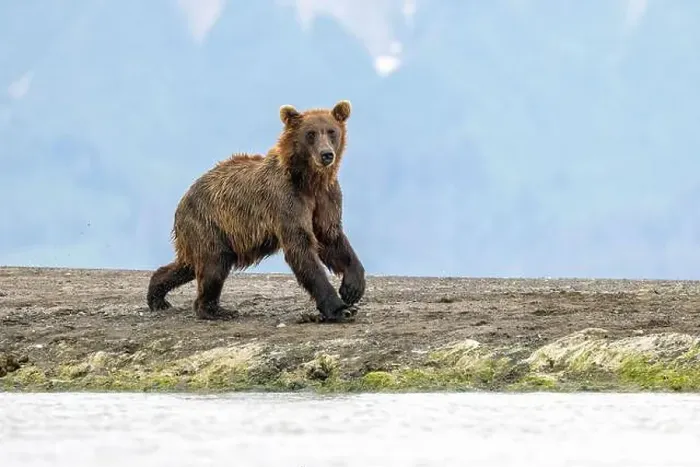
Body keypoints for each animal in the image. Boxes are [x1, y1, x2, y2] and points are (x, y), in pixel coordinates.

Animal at [146, 99, 366, 322]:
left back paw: (157, 296)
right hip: (208, 223)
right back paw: (215, 310)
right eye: (310, 134)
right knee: (214, 264)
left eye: (331, 131)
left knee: (188, 265)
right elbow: (301, 247)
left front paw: (352, 288)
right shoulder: (286, 199)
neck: (309, 181)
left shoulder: (326, 197)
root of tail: (184, 198)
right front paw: (340, 309)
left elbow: (330, 238)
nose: (326, 155)